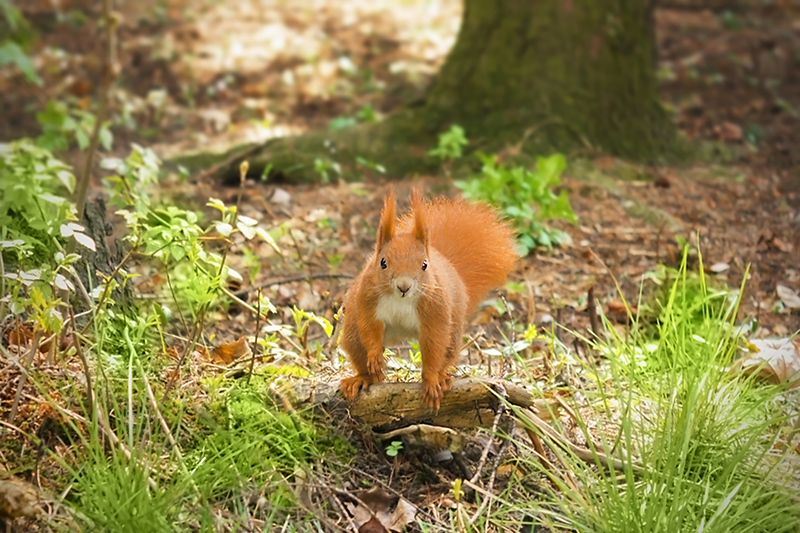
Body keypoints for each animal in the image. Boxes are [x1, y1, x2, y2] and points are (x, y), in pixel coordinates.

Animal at [340, 189, 516, 410]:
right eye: (382, 262)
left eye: (424, 265)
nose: (404, 286)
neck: (401, 301)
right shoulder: (367, 300)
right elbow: (369, 329)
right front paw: (375, 357)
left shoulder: (435, 311)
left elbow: (434, 344)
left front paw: (432, 381)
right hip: (352, 335)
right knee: (358, 348)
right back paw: (362, 378)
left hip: (453, 331)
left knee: (445, 353)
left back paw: (442, 378)